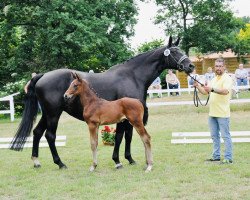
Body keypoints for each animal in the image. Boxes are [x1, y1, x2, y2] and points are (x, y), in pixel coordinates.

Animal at [10, 37, 194, 169]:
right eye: (174, 52)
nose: (191, 66)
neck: (132, 76)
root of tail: (41, 76)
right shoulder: (125, 118)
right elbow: (120, 137)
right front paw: (118, 160)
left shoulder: (127, 117)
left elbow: (127, 136)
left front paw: (129, 159)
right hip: (54, 114)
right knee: (50, 135)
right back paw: (60, 163)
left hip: (47, 114)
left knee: (37, 132)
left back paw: (36, 161)